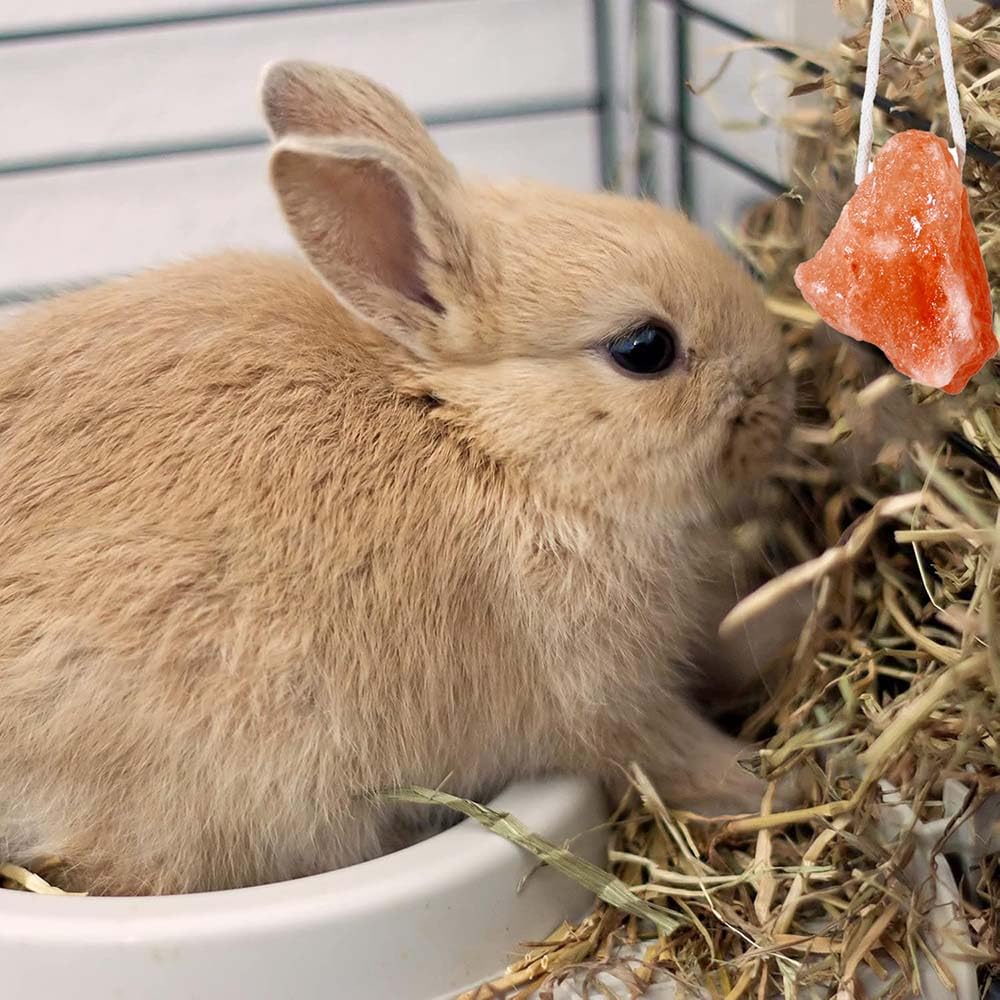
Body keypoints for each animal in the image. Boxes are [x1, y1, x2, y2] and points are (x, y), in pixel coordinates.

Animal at [0, 61, 798, 896]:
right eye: (645, 348)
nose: (781, 399)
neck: (487, 436)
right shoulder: (603, 695)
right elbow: (674, 753)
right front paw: (770, 782)